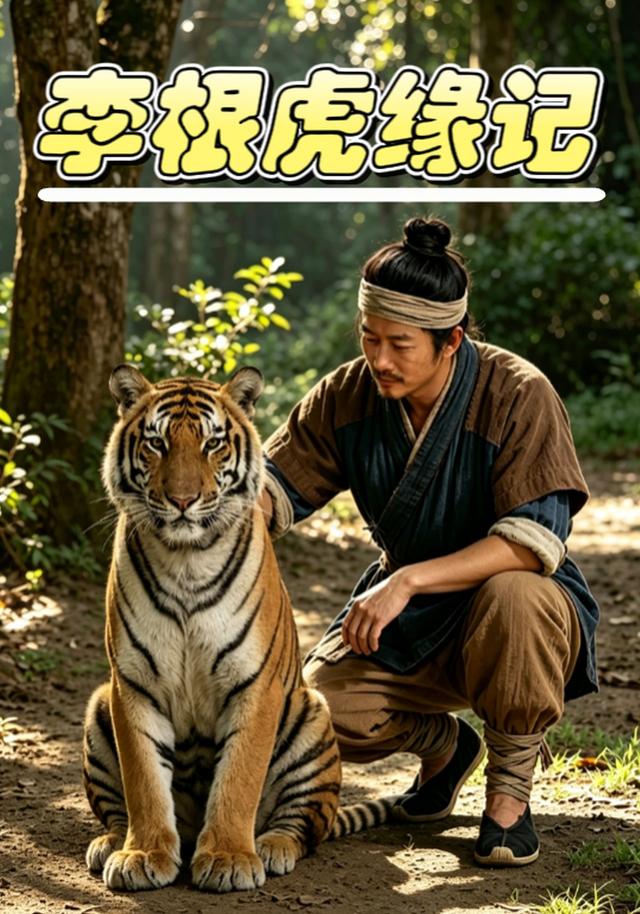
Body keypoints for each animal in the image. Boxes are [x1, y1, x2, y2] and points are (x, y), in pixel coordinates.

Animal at [83, 364, 391, 893]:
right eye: (157, 443)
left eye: (213, 444)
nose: (183, 500)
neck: (186, 560)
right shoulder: (133, 685)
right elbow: (143, 779)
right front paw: (143, 854)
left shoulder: (255, 683)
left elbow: (239, 778)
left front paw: (229, 858)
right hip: (99, 705)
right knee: (120, 809)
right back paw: (112, 843)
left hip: (312, 716)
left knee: (303, 824)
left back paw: (270, 847)